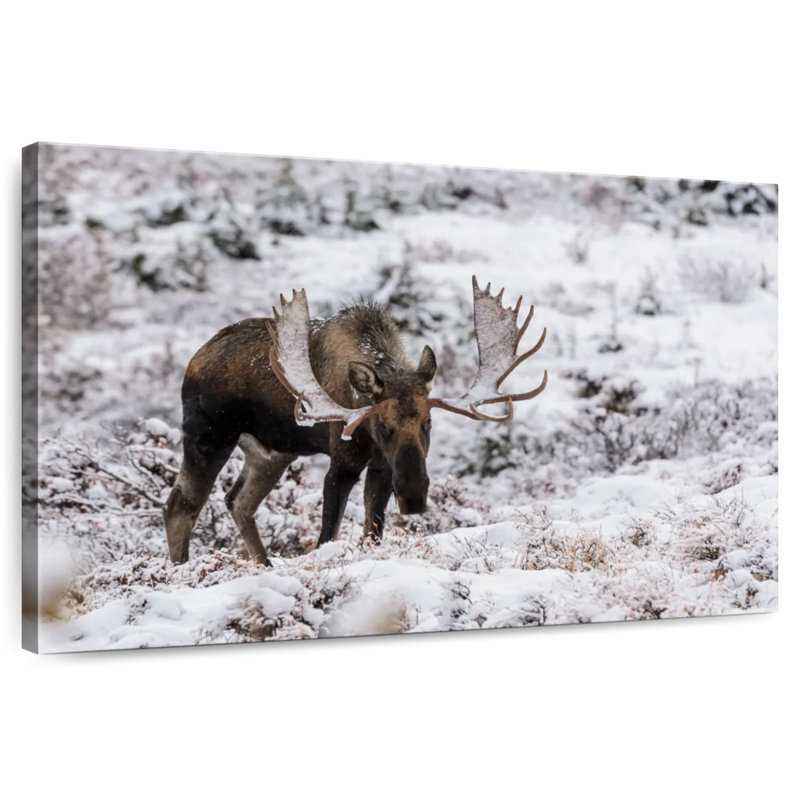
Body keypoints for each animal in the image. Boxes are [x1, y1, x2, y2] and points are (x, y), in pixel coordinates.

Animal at [163, 276, 547, 566]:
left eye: (428, 423)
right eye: (384, 426)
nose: (414, 496)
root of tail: (195, 359)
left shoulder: (382, 465)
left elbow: (372, 532)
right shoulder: (343, 459)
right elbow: (326, 536)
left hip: (272, 452)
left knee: (238, 501)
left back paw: (264, 564)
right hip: (209, 434)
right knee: (180, 505)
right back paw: (179, 571)